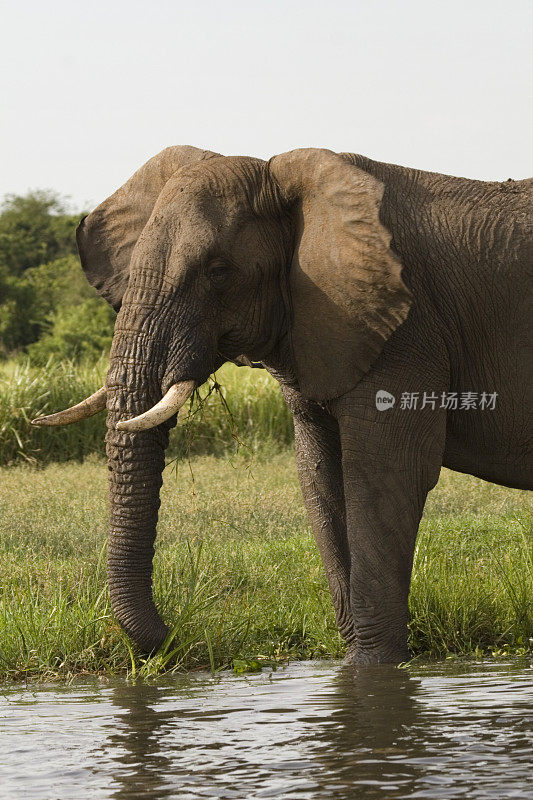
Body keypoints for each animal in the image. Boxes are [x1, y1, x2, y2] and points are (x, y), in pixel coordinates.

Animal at [33, 144, 532, 664]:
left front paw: (374, 670)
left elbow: (386, 476)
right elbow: (320, 478)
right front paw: (354, 663)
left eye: (219, 272)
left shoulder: (408, 332)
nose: (174, 635)